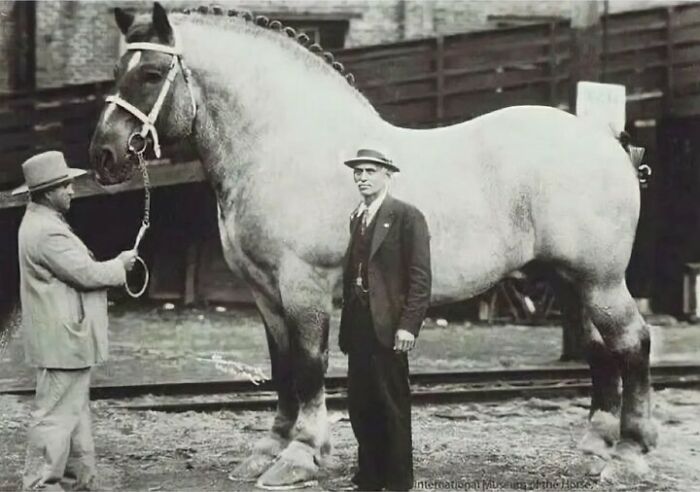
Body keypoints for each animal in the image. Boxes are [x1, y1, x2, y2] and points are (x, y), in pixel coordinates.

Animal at [89, 2, 656, 488]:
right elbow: (281, 367)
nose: (104, 155)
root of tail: (608, 140)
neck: (285, 146)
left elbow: (309, 365)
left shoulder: (304, 285)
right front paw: (269, 449)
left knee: (632, 342)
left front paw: (301, 455)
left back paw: (630, 454)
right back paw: (594, 448)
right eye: (118, 69)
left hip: (600, 280)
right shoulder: (265, 293)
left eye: (151, 74)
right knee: (599, 348)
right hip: (572, 280)